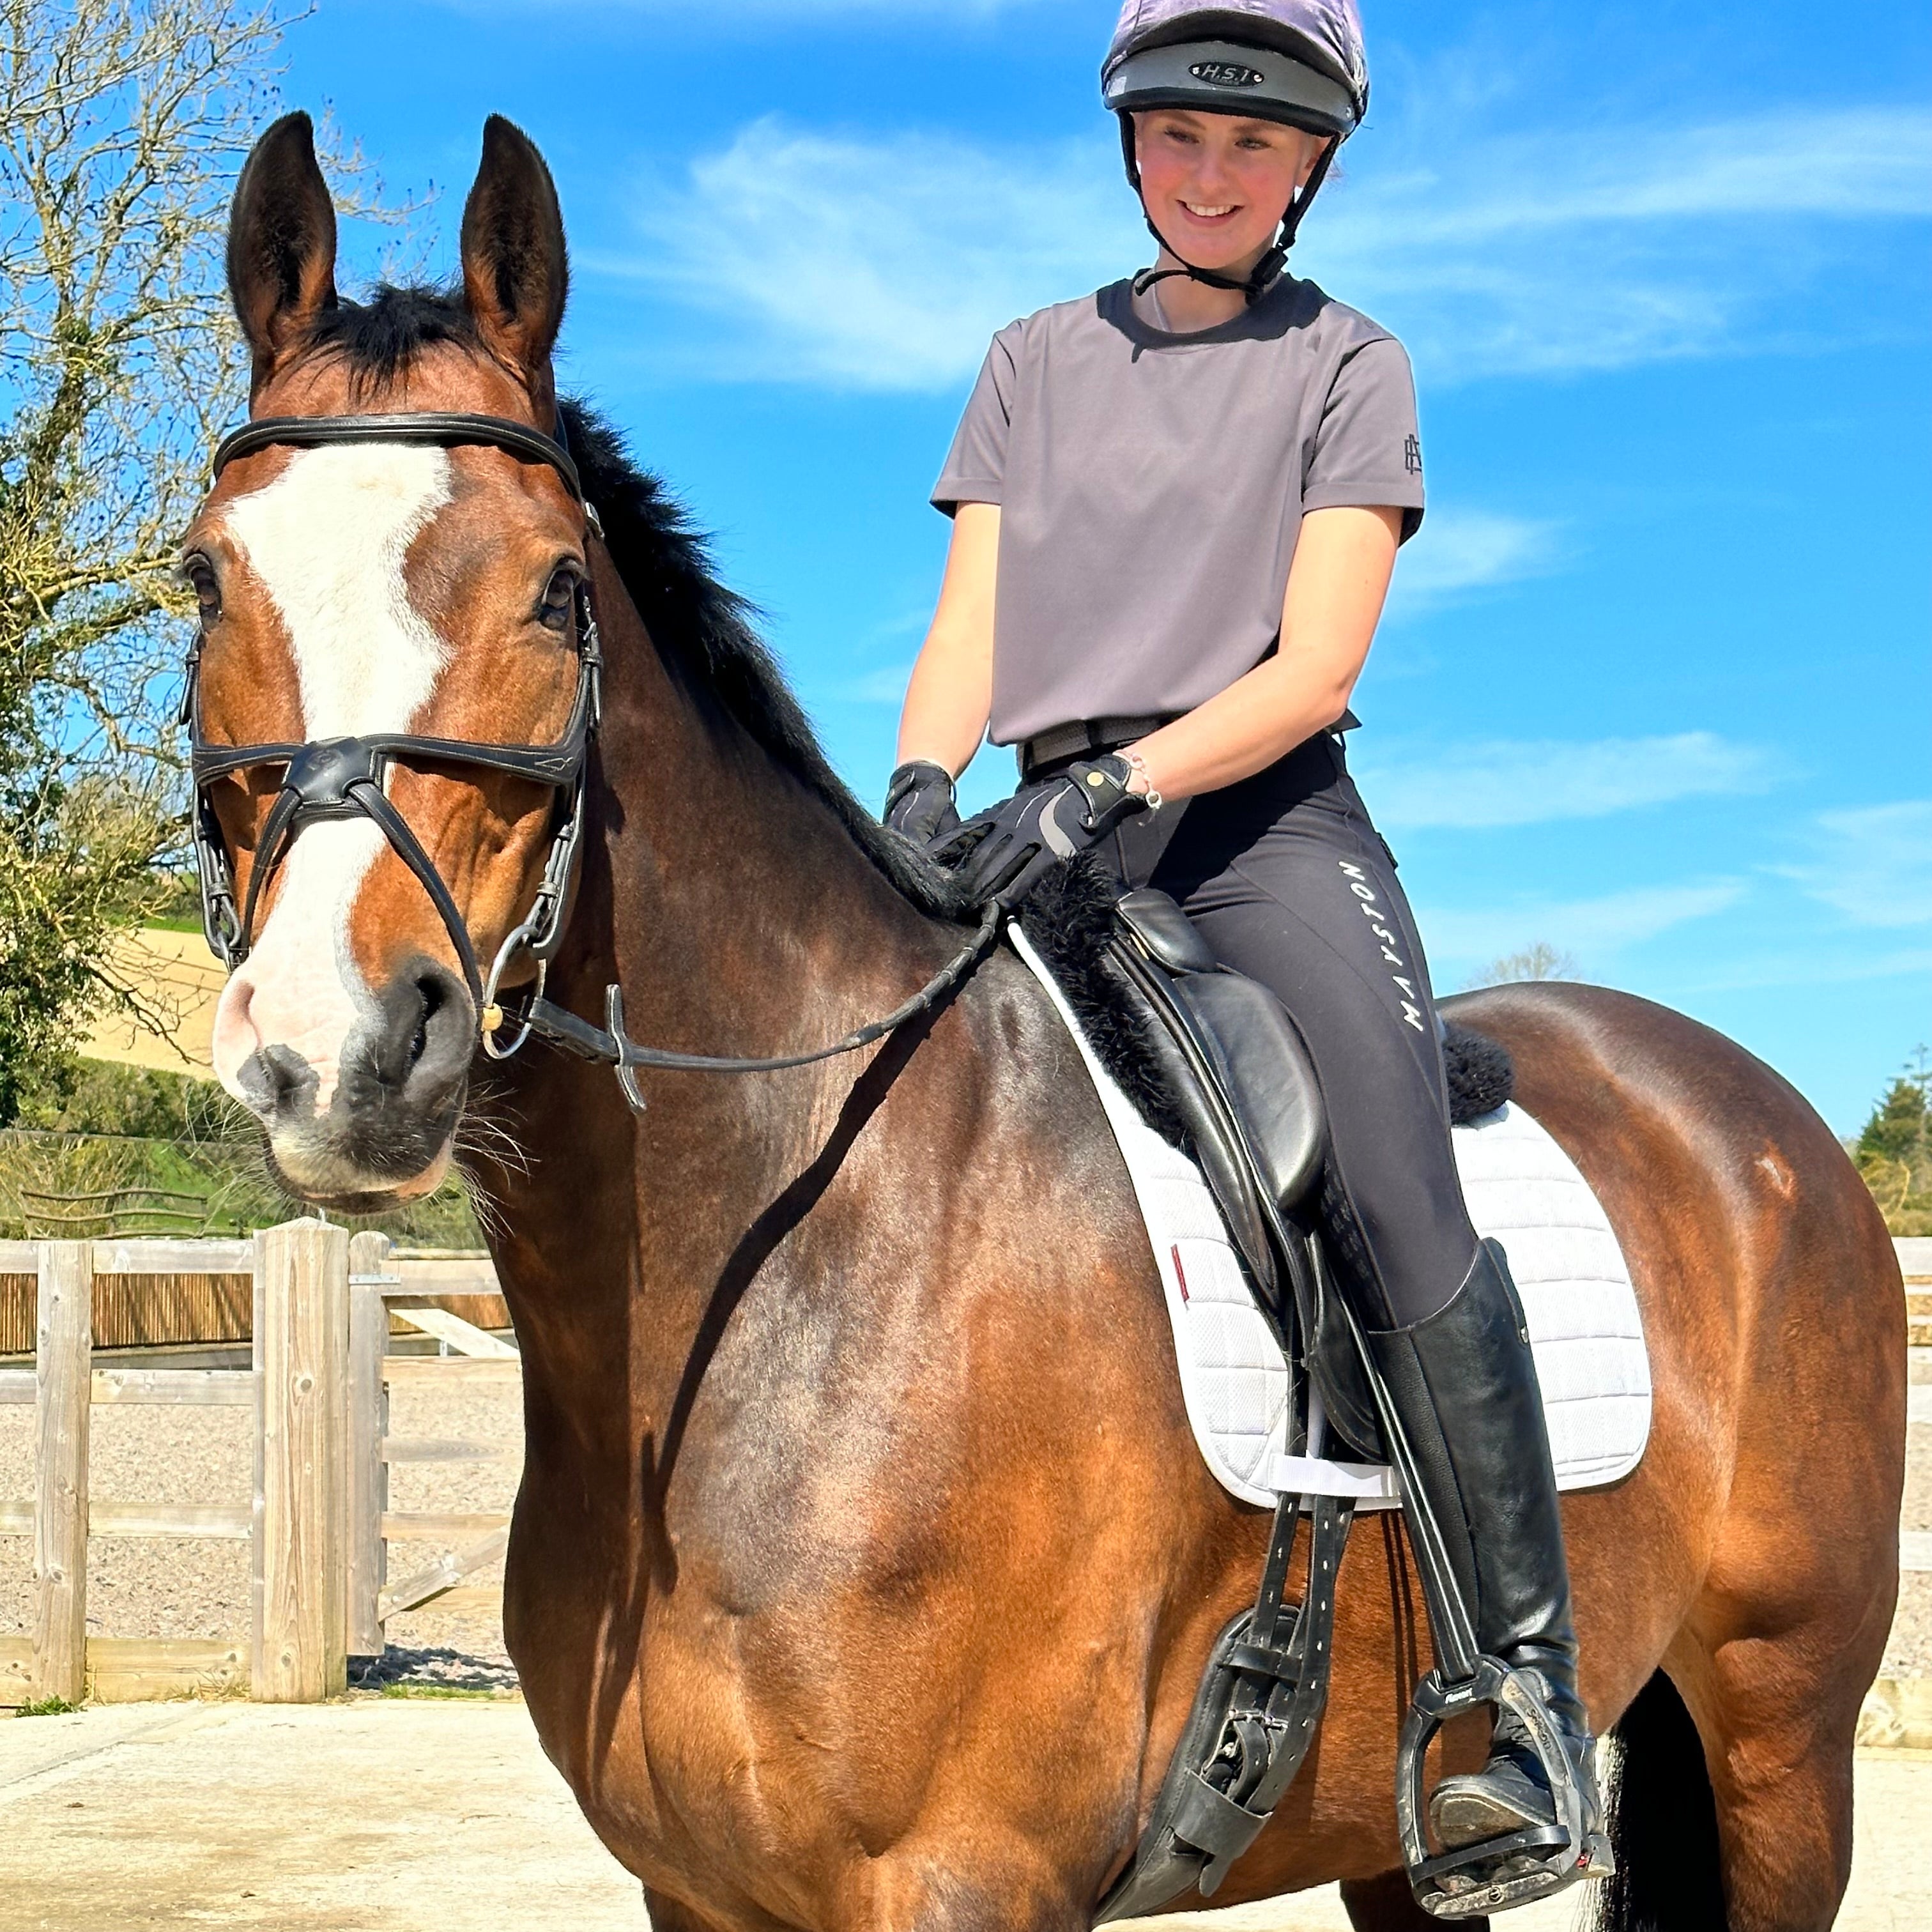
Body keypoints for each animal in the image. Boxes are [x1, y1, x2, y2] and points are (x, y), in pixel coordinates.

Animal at [187, 112, 1906, 1932]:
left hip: (1784, 1742)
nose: (342, 1052)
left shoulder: (964, 1878)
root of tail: (1753, 1113)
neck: (786, 1268)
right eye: (205, 577)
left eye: (557, 590)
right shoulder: (699, 1892)